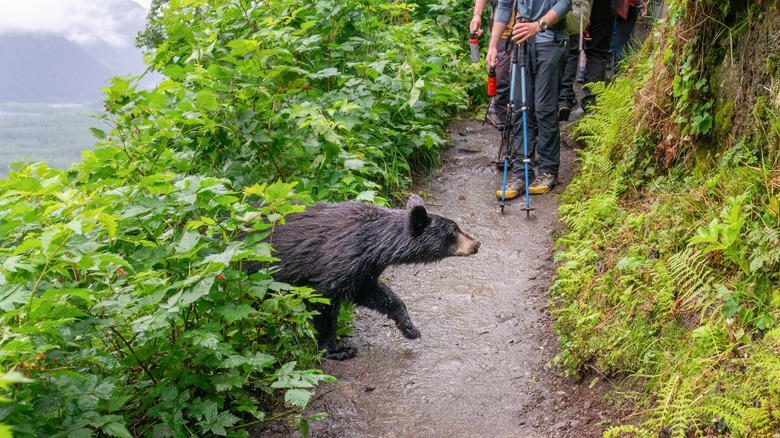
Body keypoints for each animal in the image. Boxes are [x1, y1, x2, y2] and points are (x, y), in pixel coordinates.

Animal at [258, 195, 478, 360]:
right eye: (454, 230)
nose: (477, 243)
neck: (373, 244)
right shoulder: (341, 259)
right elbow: (324, 300)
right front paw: (337, 349)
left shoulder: (365, 269)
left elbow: (374, 294)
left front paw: (409, 327)